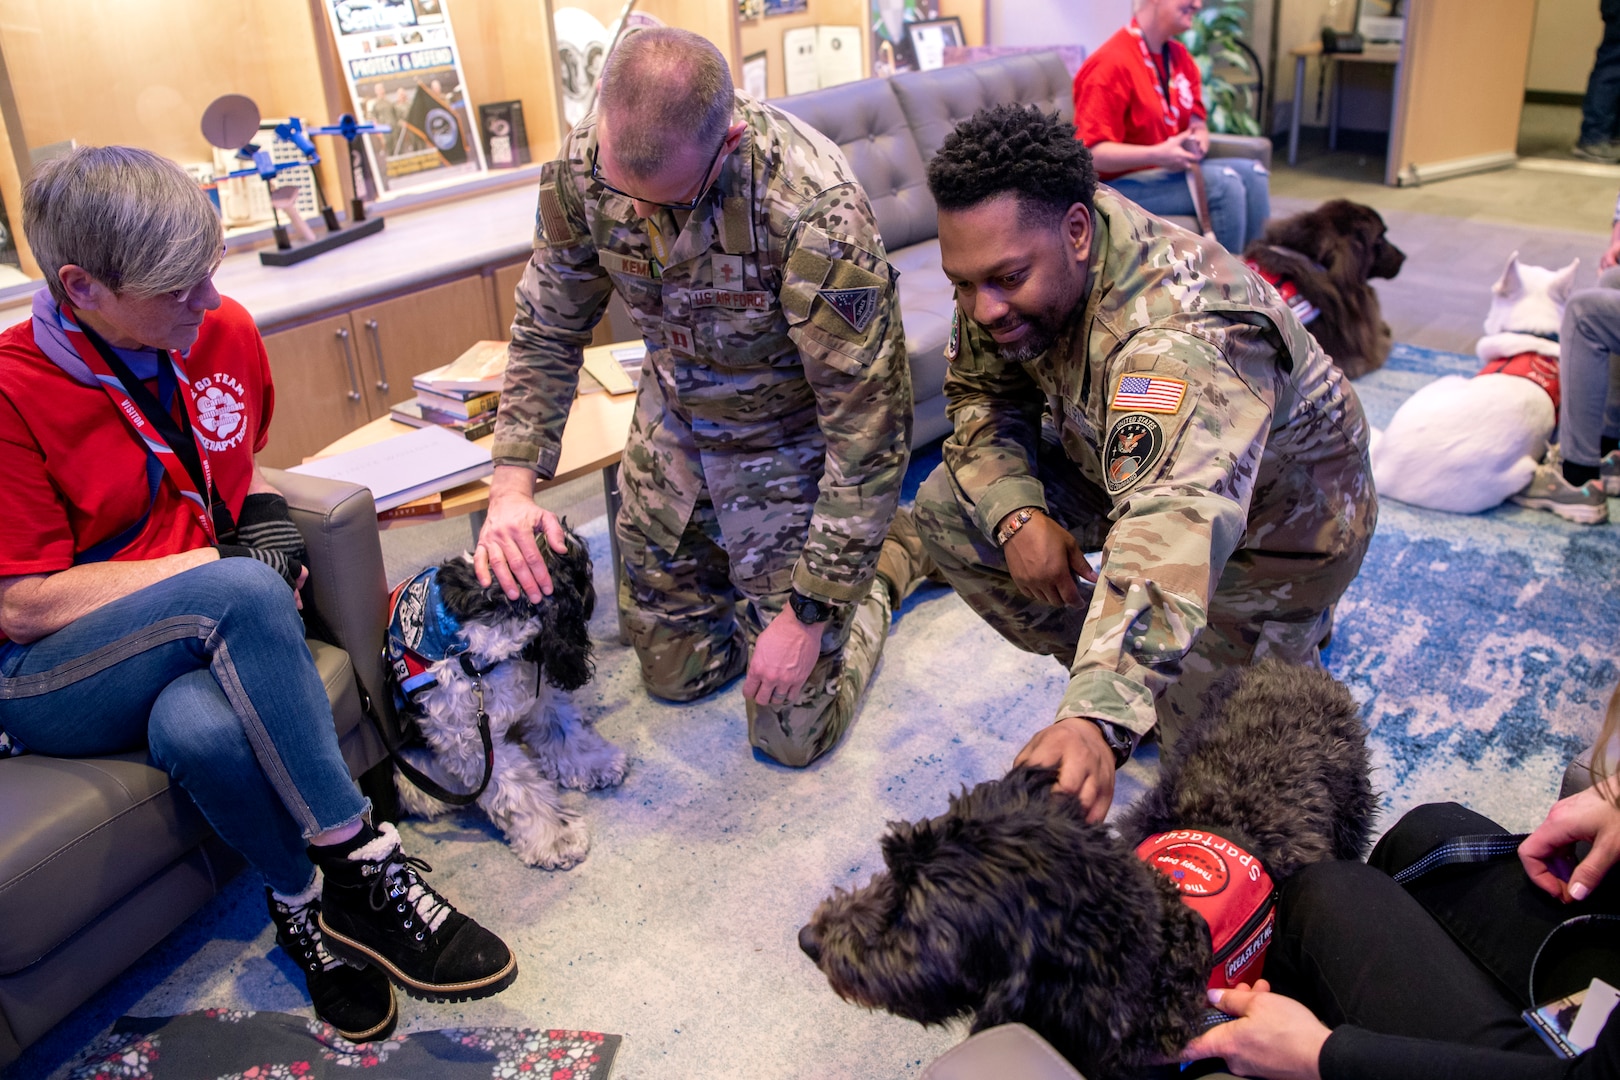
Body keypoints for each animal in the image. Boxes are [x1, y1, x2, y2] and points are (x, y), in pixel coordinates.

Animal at [383, 531, 625, 867]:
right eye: (585, 570)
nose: (593, 599)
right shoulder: (471, 743)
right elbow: (520, 792)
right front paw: (557, 837)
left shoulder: (539, 696)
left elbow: (567, 734)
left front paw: (596, 763)